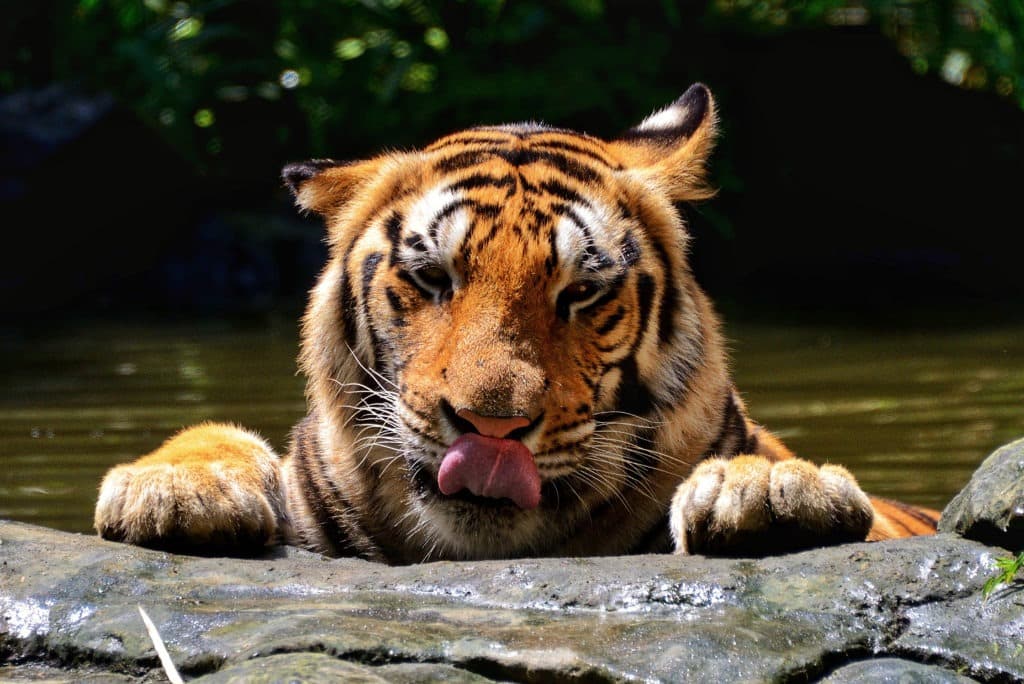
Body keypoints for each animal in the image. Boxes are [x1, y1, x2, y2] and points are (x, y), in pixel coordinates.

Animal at [92, 83, 937, 561]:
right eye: (433, 278)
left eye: (581, 292)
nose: (491, 431)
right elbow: (218, 433)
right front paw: (174, 488)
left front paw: (767, 489)